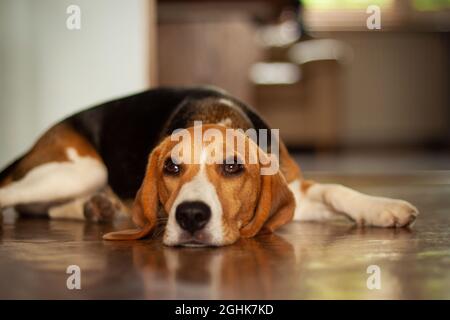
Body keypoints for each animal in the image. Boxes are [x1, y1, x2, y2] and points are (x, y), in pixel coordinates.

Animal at [0, 86, 418, 246]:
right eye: (171, 168)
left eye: (233, 168)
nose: (191, 217)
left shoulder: (297, 190)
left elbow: (335, 190)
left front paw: (383, 208)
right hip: (80, 168)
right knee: (11, 196)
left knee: (42, 207)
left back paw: (97, 207)